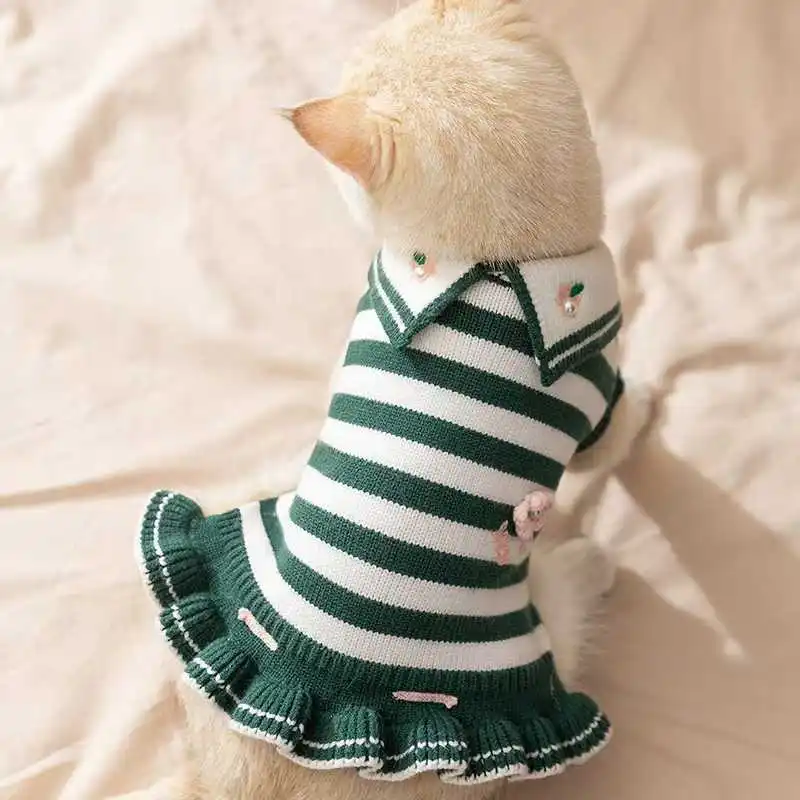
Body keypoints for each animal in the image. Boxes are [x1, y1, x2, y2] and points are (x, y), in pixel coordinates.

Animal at [143, 2, 652, 799]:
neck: (495, 261)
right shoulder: (602, 395)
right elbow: (623, 432)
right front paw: (656, 406)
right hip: (530, 645)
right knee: (569, 611)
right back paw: (590, 563)